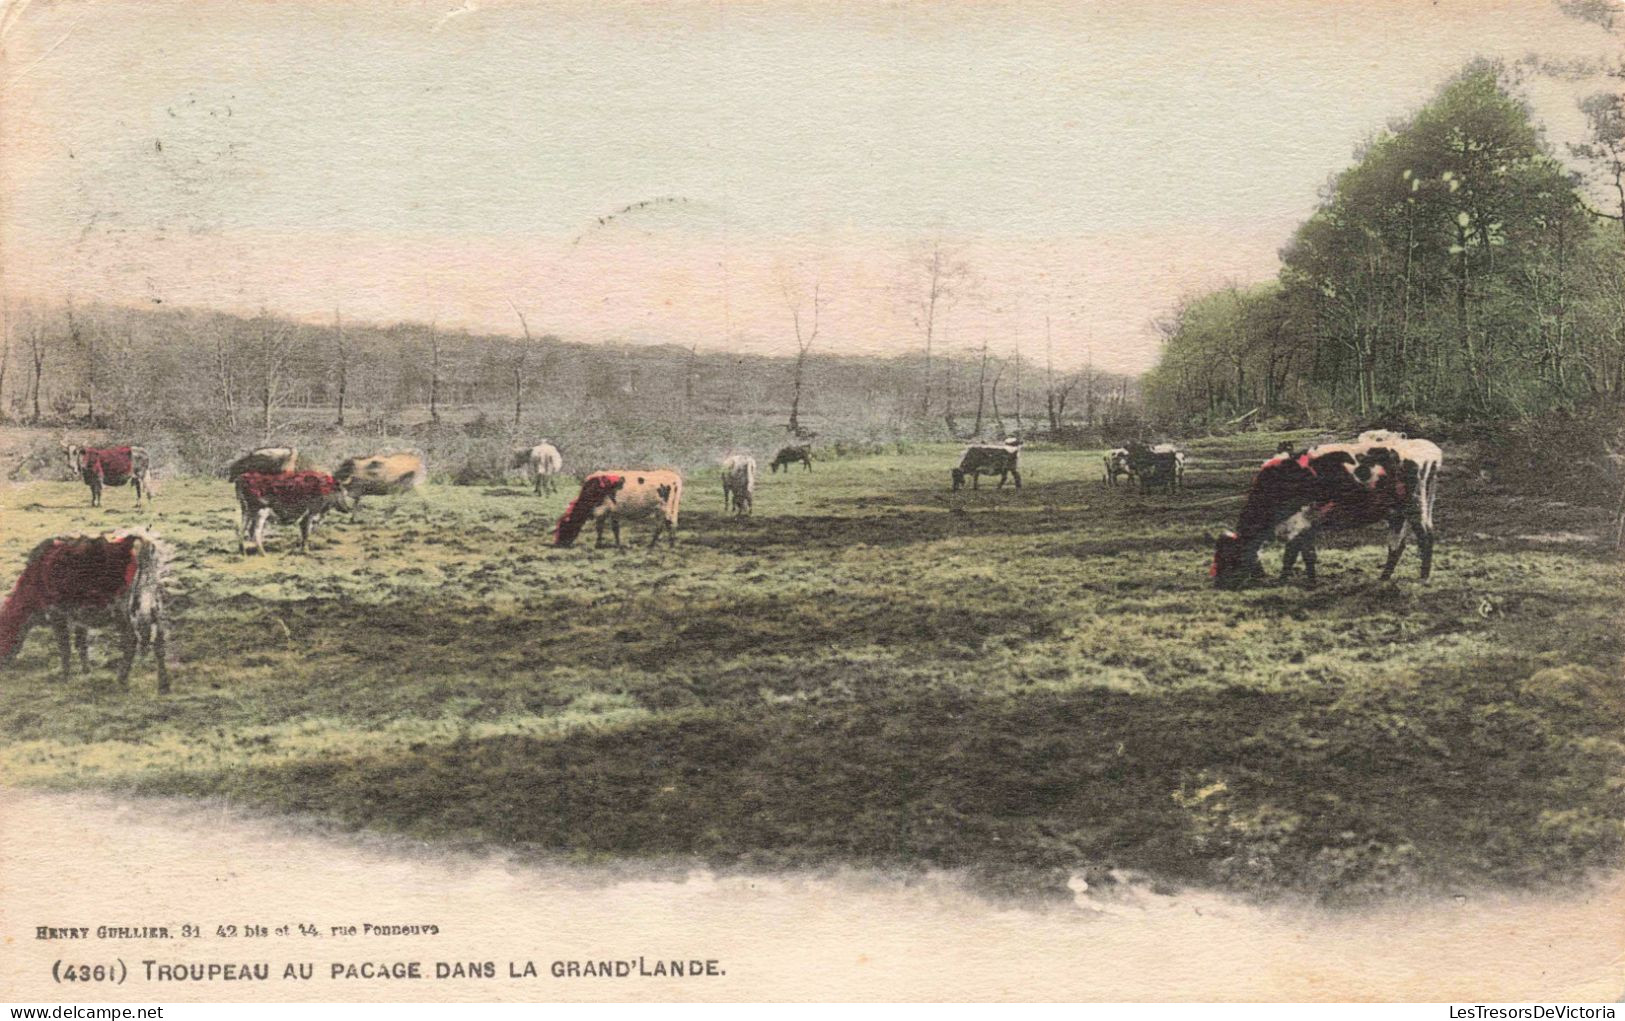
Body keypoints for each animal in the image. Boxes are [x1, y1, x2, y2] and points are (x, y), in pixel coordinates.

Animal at [0, 530, 171, 689]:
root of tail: (135, 542)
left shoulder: (58, 615)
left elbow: (65, 648)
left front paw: (65, 678)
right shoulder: (79, 618)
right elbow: (81, 645)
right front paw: (86, 672)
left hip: (123, 611)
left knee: (131, 640)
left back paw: (121, 679)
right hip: (154, 605)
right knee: (159, 642)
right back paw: (164, 685)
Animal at [1209, 432, 1449, 591]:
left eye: (1229, 556)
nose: (1218, 583)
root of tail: (1429, 449)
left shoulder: (1298, 523)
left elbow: (1291, 555)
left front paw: (1282, 581)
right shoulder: (1309, 524)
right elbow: (1308, 555)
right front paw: (1312, 581)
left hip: (1415, 507)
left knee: (1425, 538)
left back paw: (1423, 578)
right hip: (1397, 514)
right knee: (1396, 546)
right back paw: (1383, 578)